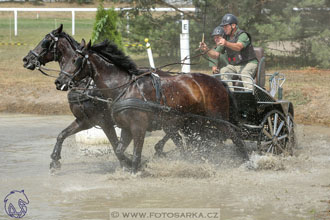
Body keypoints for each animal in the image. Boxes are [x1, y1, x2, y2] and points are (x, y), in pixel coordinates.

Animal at [56, 40, 248, 174]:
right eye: (65, 59)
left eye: (75, 59)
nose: (59, 81)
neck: (124, 88)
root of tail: (219, 82)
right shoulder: (126, 128)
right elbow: (119, 150)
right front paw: (134, 166)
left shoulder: (138, 128)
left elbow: (135, 154)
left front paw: (135, 170)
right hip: (193, 123)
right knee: (197, 143)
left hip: (218, 119)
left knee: (235, 137)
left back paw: (247, 162)